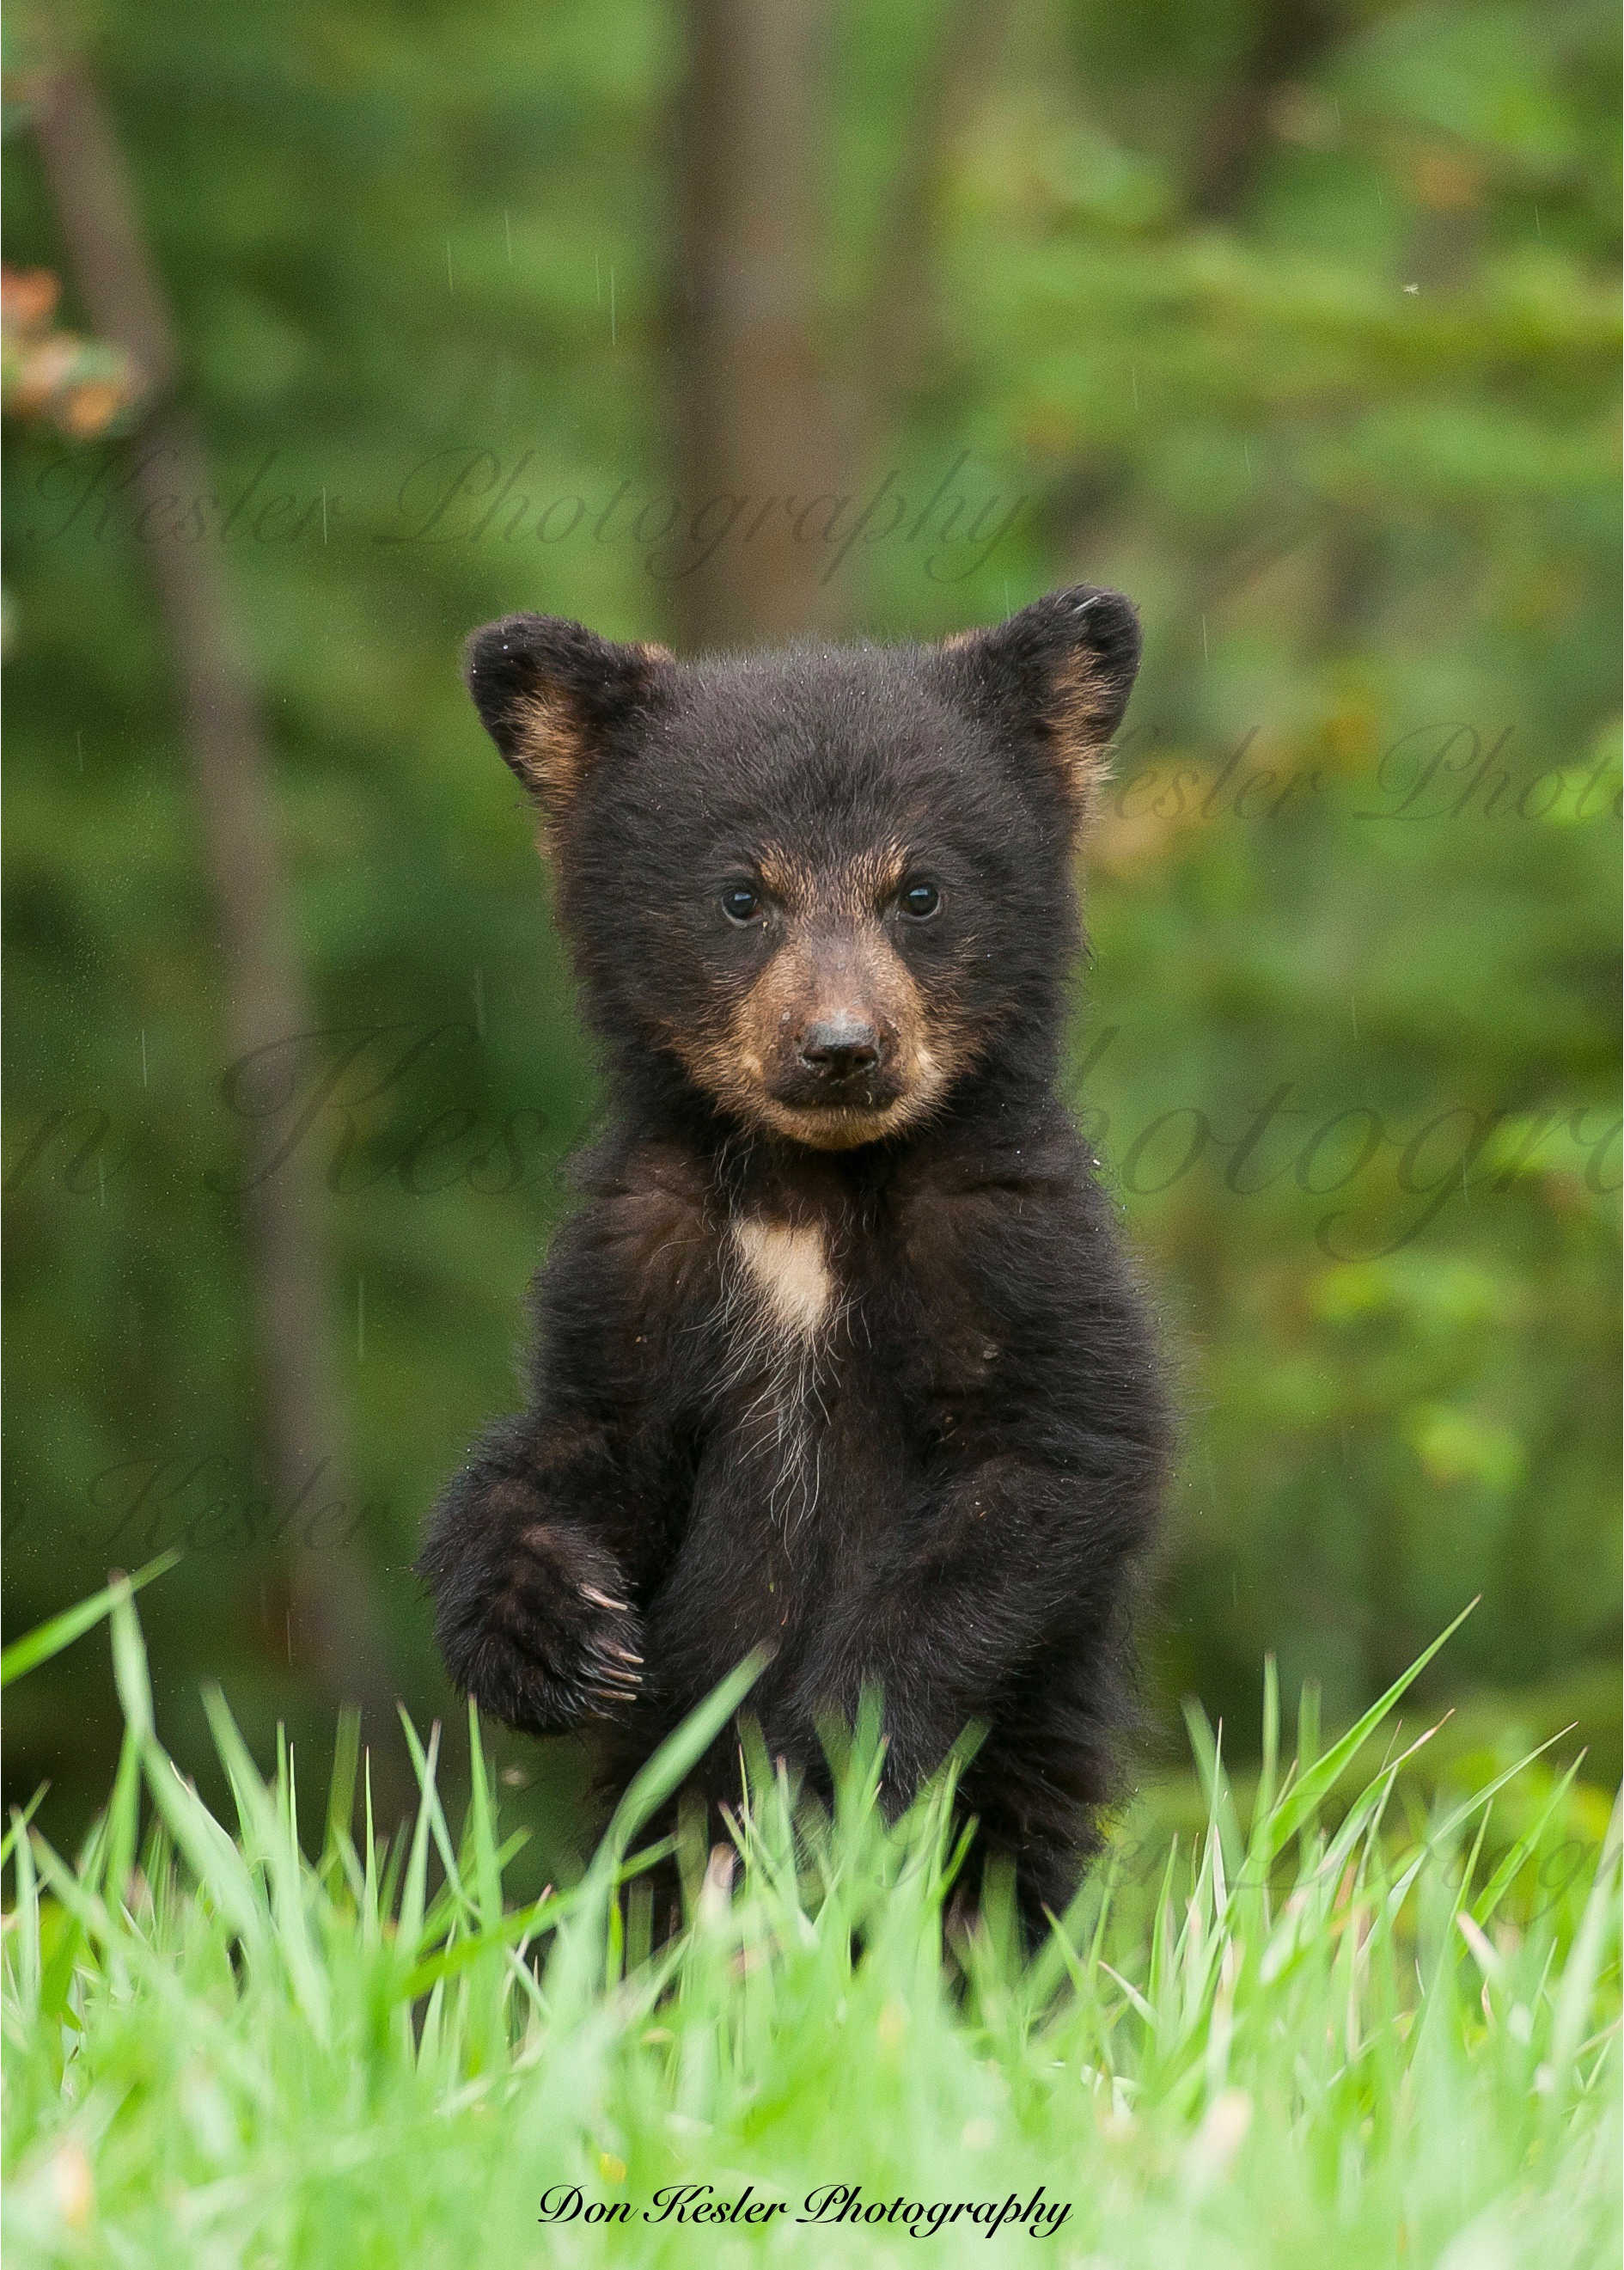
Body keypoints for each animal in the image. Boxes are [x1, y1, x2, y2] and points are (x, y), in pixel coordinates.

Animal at [418, 585, 1172, 1938]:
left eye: (919, 892)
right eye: (740, 895)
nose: (840, 1047)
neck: (812, 1192)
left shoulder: (1013, 1231)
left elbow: (1054, 1454)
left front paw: (826, 1751)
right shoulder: (647, 1239)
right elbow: (585, 1432)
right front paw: (541, 1624)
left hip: (1025, 1771)